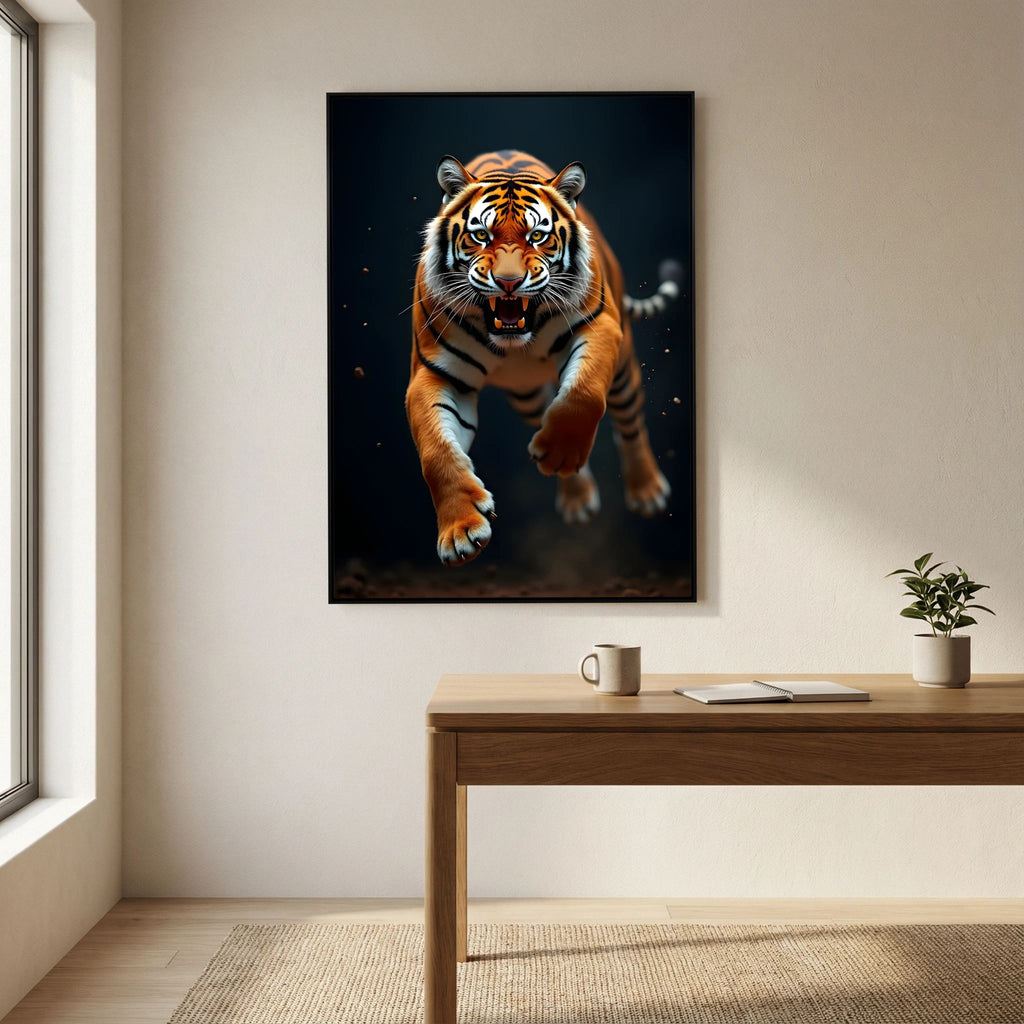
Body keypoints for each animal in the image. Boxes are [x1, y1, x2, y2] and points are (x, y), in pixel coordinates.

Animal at [406, 149, 680, 566]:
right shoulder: (433, 374)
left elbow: (583, 394)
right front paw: (461, 533)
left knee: (630, 424)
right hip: (525, 394)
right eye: (481, 235)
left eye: (538, 236)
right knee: (546, 411)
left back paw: (646, 491)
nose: (508, 282)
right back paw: (576, 498)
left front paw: (561, 452)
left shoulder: (600, 328)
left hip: (624, 372)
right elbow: (436, 453)